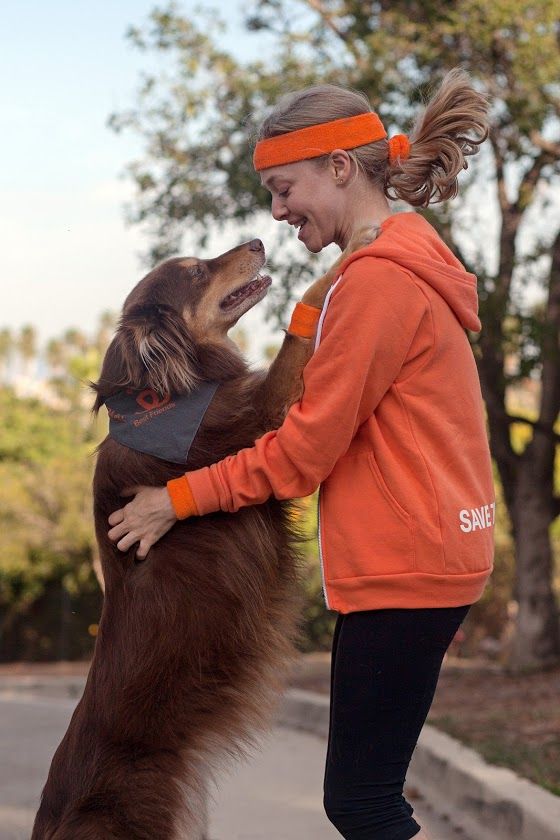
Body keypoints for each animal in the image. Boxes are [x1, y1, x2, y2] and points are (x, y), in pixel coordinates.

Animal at [31, 223, 380, 840]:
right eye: (196, 272)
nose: (258, 241)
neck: (164, 398)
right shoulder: (263, 417)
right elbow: (297, 335)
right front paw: (339, 263)